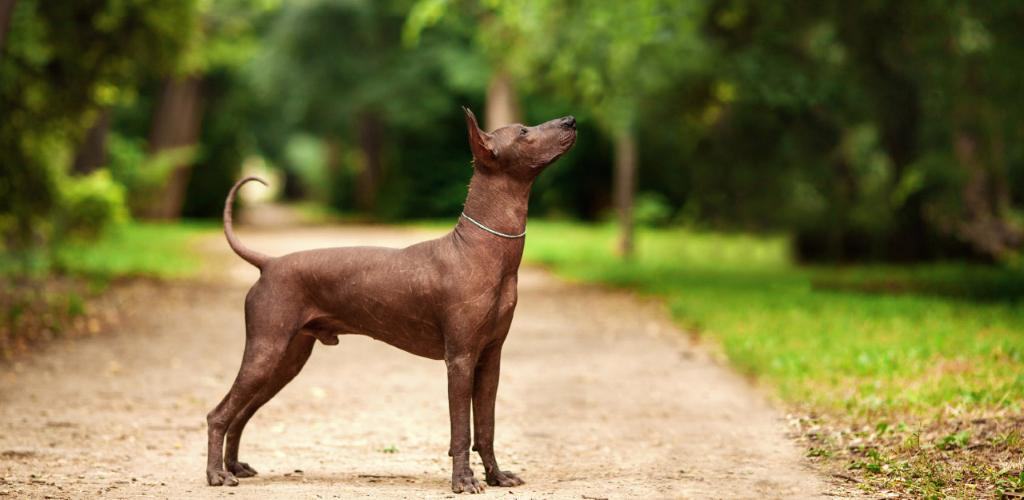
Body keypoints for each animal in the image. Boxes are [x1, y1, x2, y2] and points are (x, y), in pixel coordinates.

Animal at [205, 107, 577, 493]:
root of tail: (269, 263)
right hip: (266, 352)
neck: (481, 249)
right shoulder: (460, 359)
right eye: (523, 132)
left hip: (286, 361)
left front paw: (496, 476)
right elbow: (461, 429)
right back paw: (217, 474)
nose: (570, 120)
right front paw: (463, 480)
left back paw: (234, 466)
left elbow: (486, 428)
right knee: (218, 414)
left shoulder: (490, 359)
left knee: (239, 415)